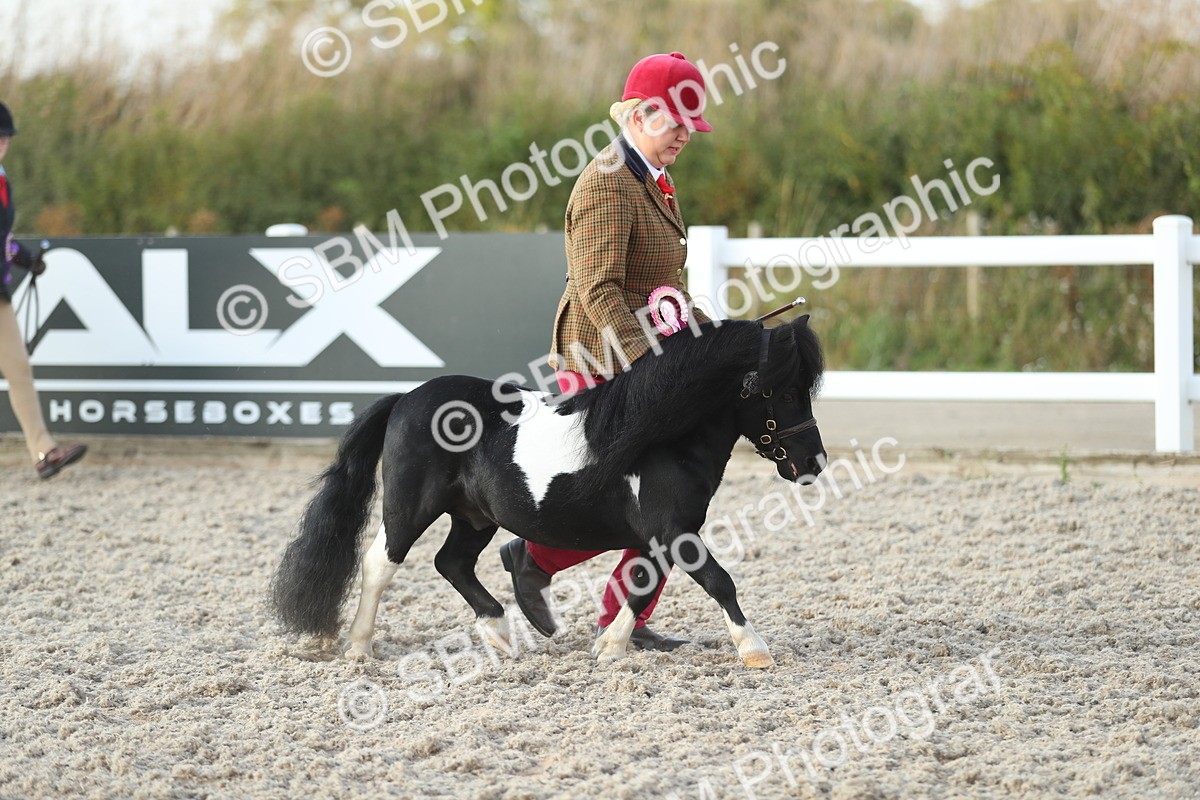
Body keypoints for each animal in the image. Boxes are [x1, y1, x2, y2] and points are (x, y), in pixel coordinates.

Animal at [270, 315, 826, 668]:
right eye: (785, 391)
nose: (813, 463)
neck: (665, 436)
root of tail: (405, 398)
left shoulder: (662, 535)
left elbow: (640, 586)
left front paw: (610, 649)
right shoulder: (674, 532)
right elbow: (718, 581)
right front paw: (755, 649)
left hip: (475, 515)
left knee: (452, 563)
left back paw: (501, 632)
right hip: (411, 507)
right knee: (380, 563)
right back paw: (360, 648)